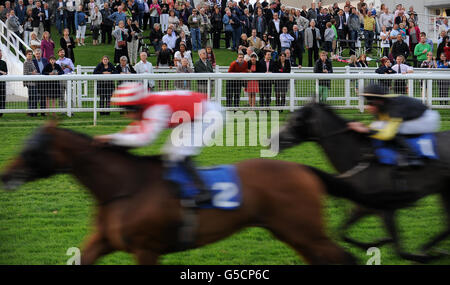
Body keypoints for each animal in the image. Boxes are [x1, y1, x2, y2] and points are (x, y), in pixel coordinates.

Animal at [0, 123, 358, 264]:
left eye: (32, 149)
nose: (6, 176)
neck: (124, 186)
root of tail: (302, 169)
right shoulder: (102, 241)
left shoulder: (146, 249)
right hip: (294, 233)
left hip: (305, 231)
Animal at [272, 103, 450, 260]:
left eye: (296, 120)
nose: (271, 141)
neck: (360, 156)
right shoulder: (363, 206)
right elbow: (341, 232)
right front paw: (376, 243)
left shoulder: (385, 209)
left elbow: (399, 250)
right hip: (443, 191)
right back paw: (429, 248)